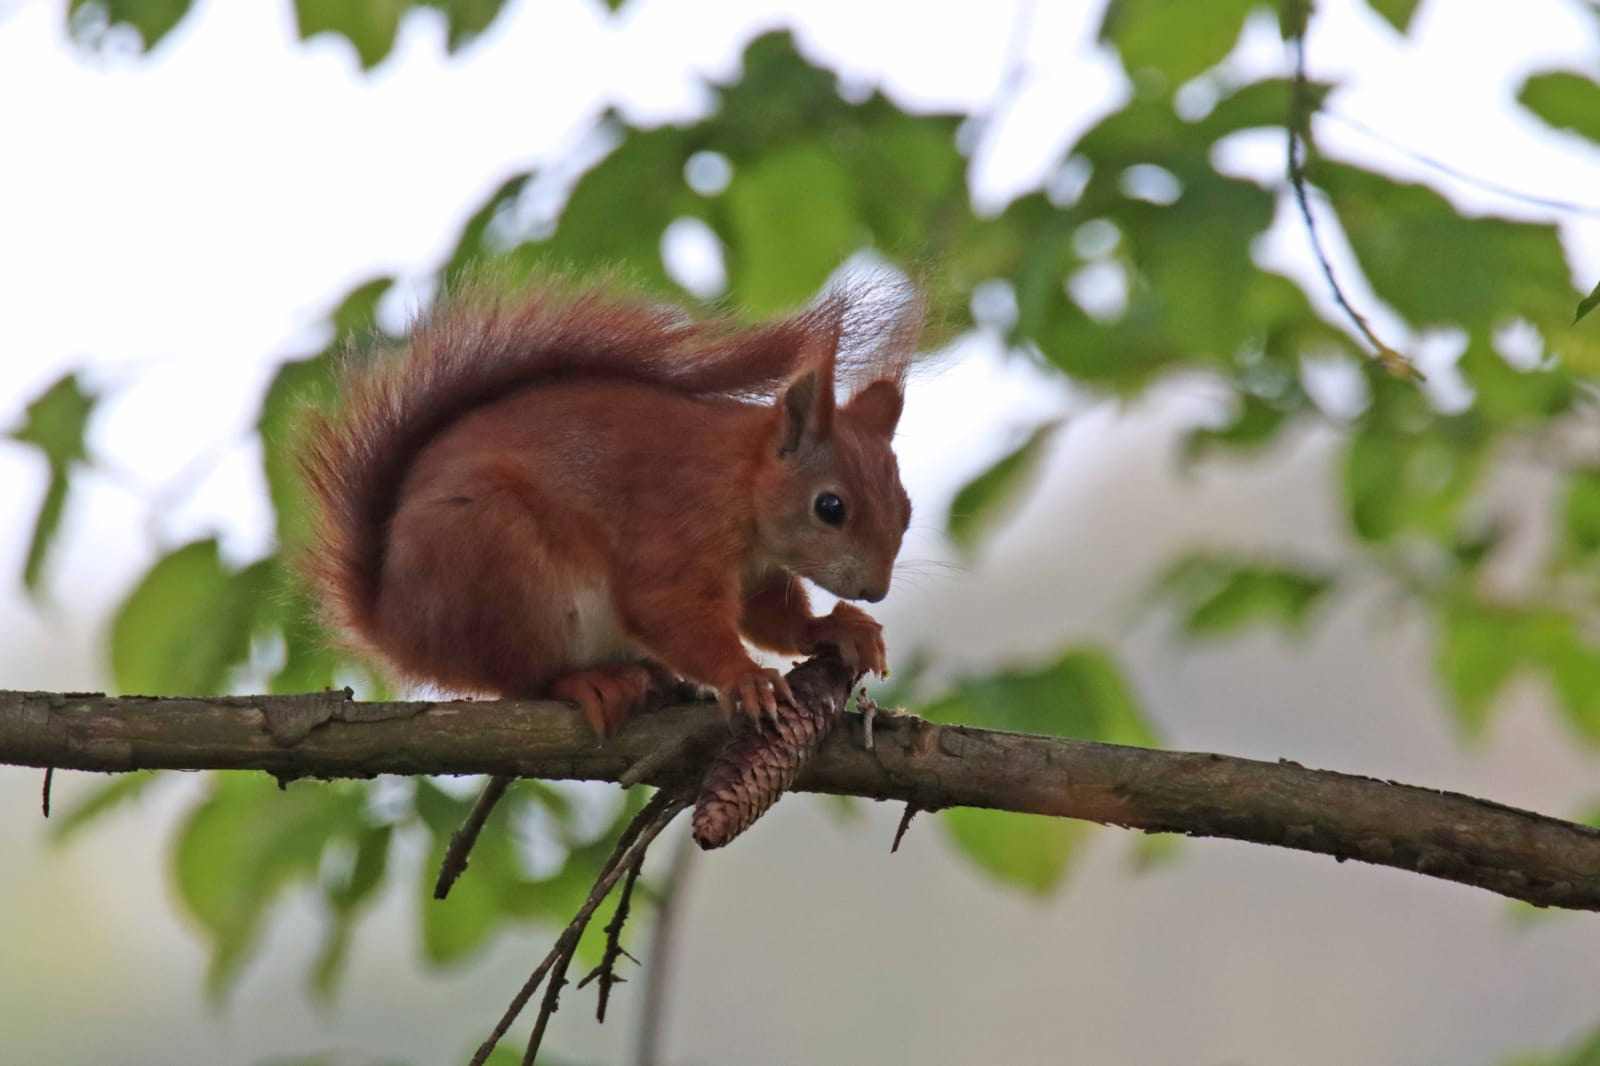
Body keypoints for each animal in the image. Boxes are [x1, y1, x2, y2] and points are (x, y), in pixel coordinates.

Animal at [297, 275, 920, 736]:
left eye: (907, 509)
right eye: (830, 507)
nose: (876, 590)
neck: (741, 482)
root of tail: (395, 625)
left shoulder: (760, 573)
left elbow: (774, 618)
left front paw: (837, 628)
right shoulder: (676, 526)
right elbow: (666, 609)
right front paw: (745, 677)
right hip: (497, 563)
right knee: (523, 679)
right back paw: (590, 682)